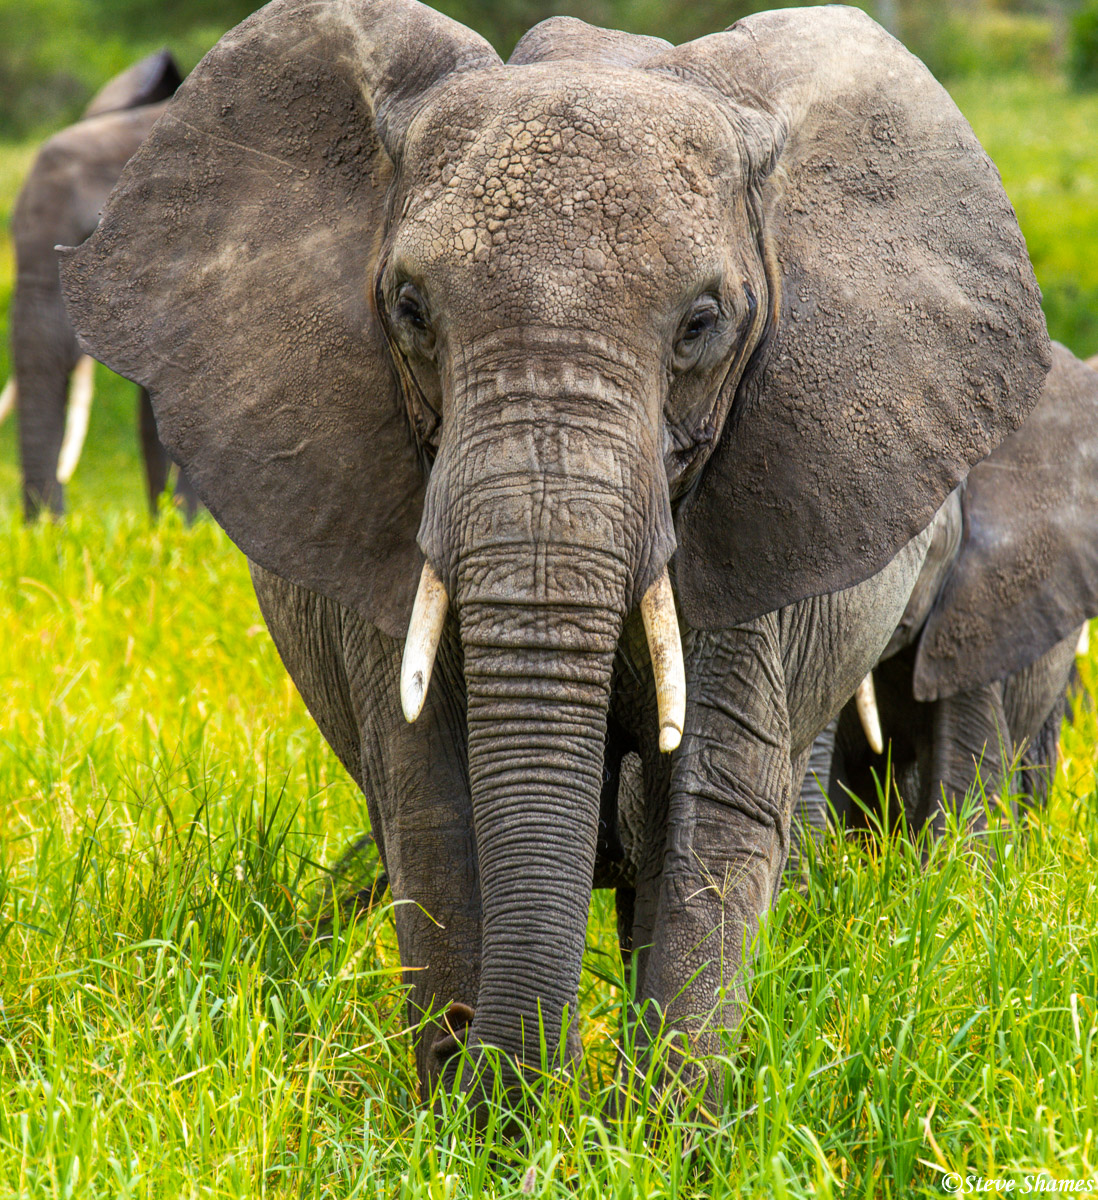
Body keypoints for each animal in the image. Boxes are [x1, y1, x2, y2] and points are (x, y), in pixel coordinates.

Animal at [62, 0, 1056, 1108]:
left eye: (703, 323)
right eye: (410, 308)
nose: (492, 1067)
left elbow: (708, 804)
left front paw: (660, 1129)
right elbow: (434, 799)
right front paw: (482, 1125)